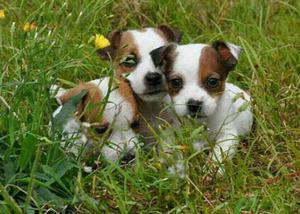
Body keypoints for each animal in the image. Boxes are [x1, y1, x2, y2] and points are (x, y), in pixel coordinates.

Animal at [150, 41, 253, 175]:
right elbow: (168, 146)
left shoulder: (227, 135)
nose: (194, 104)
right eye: (175, 82)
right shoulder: (174, 130)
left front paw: (211, 170)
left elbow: (219, 152)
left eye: (213, 81)